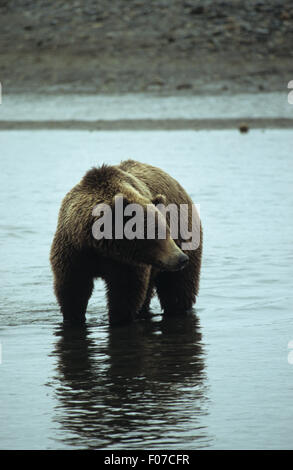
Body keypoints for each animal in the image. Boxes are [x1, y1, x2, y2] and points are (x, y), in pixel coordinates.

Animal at [49, 160, 201, 324]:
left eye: (167, 230)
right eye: (155, 233)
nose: (181, 258)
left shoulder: (127, 265)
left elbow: (125, 295)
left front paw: (118, 318)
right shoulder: (74, 254)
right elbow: (73, 291)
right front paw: (74, 317)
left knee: (178, 291)